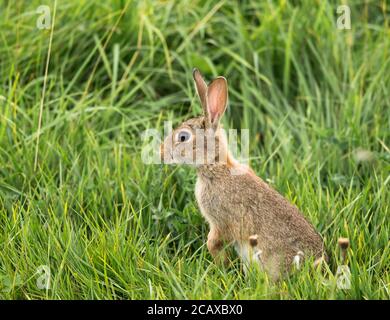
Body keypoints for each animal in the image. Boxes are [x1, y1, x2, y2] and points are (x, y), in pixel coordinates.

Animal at [160, 68, 328, 280]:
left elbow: (213, 242)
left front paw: (221, 267)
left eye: (183, 137)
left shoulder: (222, 221)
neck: (216, 168)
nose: (160, 153)